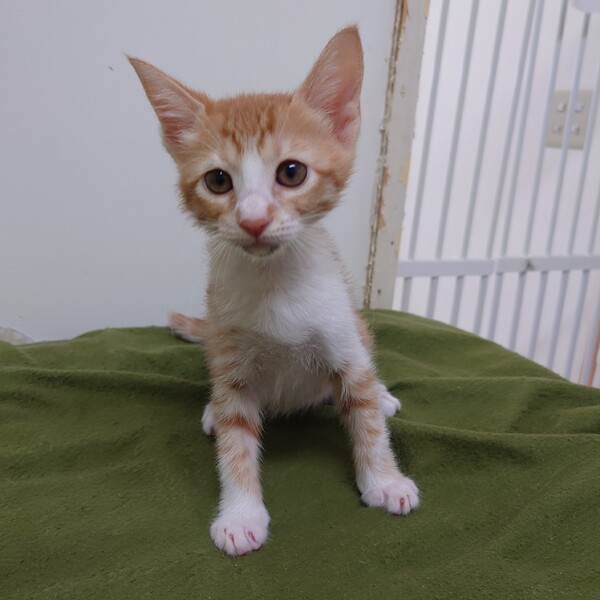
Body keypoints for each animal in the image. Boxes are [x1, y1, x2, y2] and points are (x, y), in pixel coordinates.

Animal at [129, 25, 419, 557]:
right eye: (217, 180)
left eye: (291, 172)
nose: (253, 220)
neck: (275, 281)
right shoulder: (232, 359)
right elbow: (235, 441)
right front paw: (241, 514)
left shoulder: (343, 342)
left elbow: (365, 415)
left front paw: (384, 480)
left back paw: (384, 395)